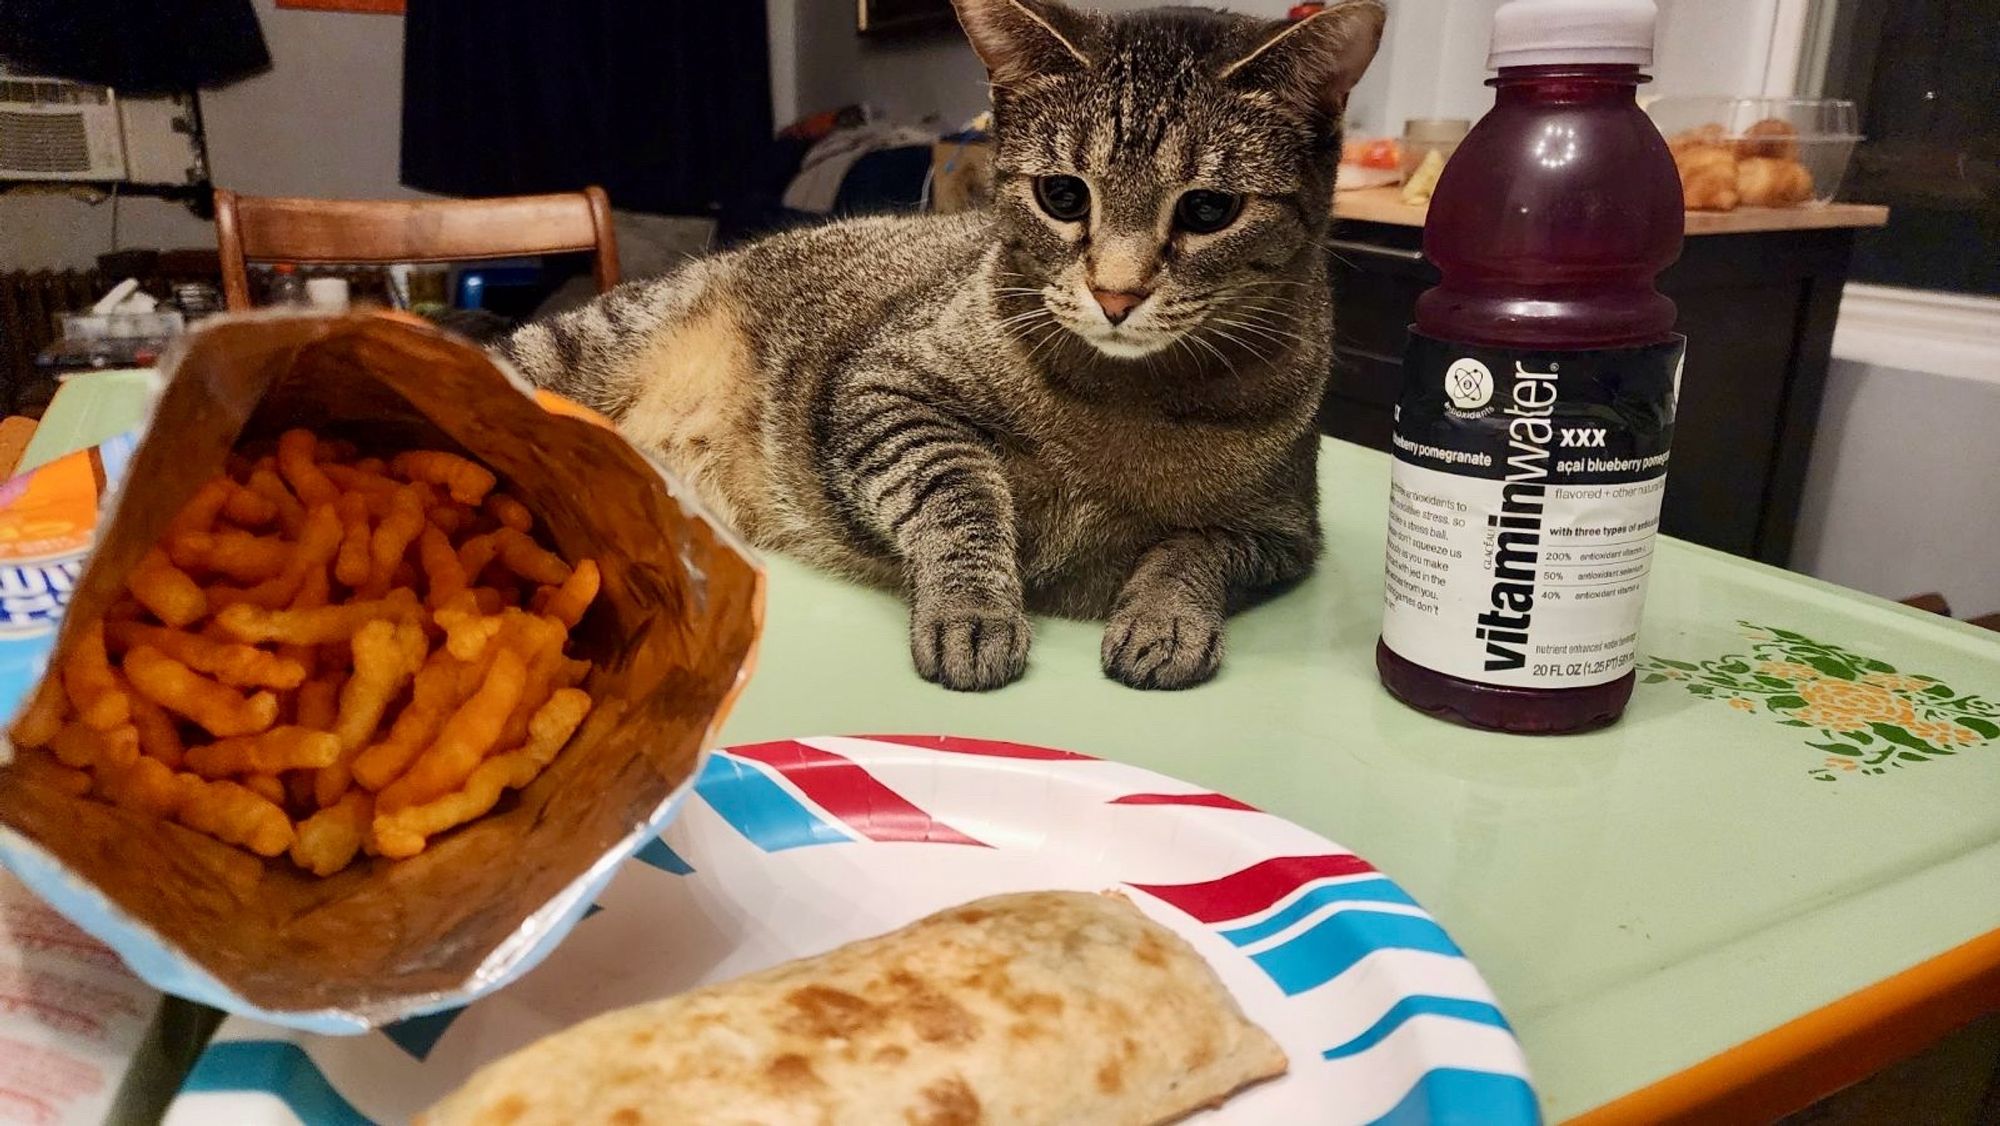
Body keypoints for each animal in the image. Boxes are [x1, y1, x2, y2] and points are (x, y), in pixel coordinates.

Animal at [496, 0, 1392, 692]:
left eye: (1209, 210)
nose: (1116, 295)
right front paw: (974, 607)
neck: (1129, 400)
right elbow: (961, 494)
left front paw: (1165, 617)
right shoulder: (883, 388)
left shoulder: (1281, 533)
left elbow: (1193, 549)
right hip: (561, 355)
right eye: (1063, 196)